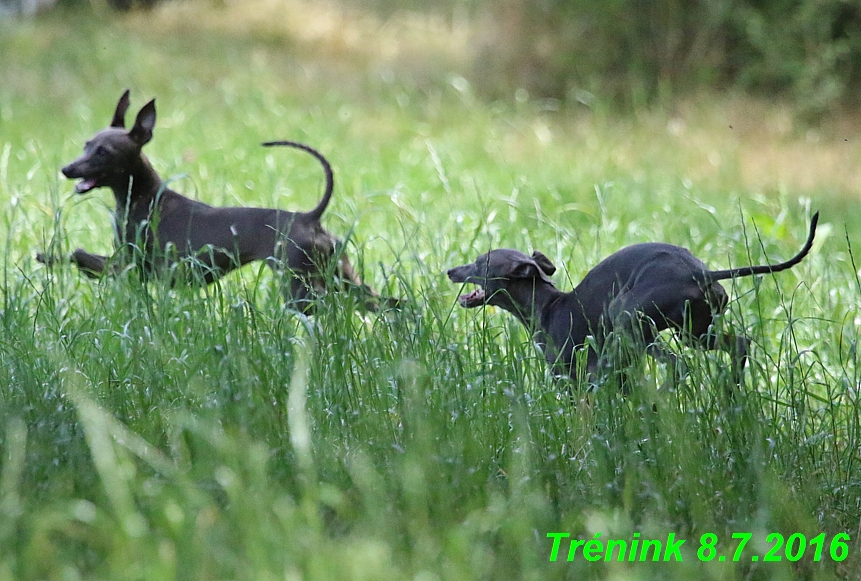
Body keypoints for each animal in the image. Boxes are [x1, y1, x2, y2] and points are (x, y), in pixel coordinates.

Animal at [39, 89, 382, 310]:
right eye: (86, 144)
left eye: (103, 152)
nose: (67, 169)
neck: (144, 198)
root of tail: (310, 218)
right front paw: (50, 257)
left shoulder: (133, 268)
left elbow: (80, 254)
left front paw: (53, 257)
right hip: (340, 276)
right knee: (385, 305)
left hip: (302, 286)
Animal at [446, 213, 816, 386]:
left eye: (479, 263)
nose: (450, 270)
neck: (548, 307)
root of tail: (702, 273)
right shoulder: (611, 377)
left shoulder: (573, 379)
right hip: (694, 331)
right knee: (739, 343)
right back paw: (732, 391)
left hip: (630, 318)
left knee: (678, 366)